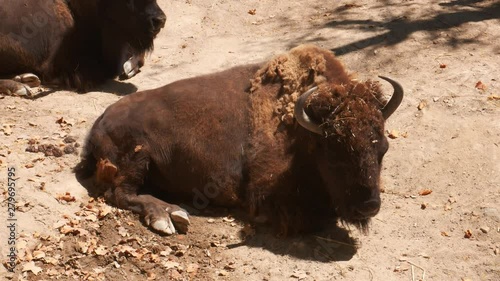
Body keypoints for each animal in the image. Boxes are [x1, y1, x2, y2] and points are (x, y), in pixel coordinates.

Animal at [76, 44, 404, 235]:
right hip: (138, 157)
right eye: (333, 153)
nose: (369, 206)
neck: (300, 130)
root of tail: (98, 124)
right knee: (121, 193)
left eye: (383, 150)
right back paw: (168, 218)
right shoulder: (267, 190)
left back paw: (176, 214)